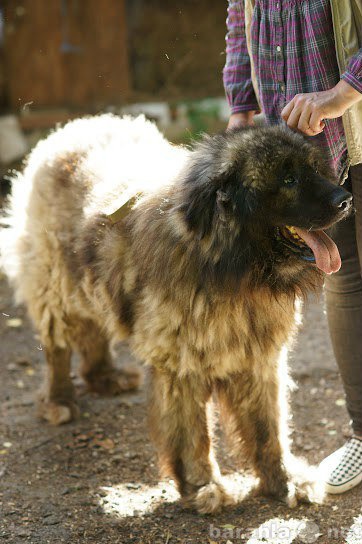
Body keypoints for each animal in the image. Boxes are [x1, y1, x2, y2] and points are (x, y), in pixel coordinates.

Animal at [0, 116, 350, 516]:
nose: (345, 200)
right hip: (55, 284)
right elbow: (192, 434)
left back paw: (105, 377)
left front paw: (283, 480)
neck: (229, 267)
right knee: (58, 346)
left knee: (94, 331)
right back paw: (59, 400)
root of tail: (71, 127)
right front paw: (202, 486)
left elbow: (268, 429)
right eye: (288, 179)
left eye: (314, 169)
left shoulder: (260, 360)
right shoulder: (182, 366)